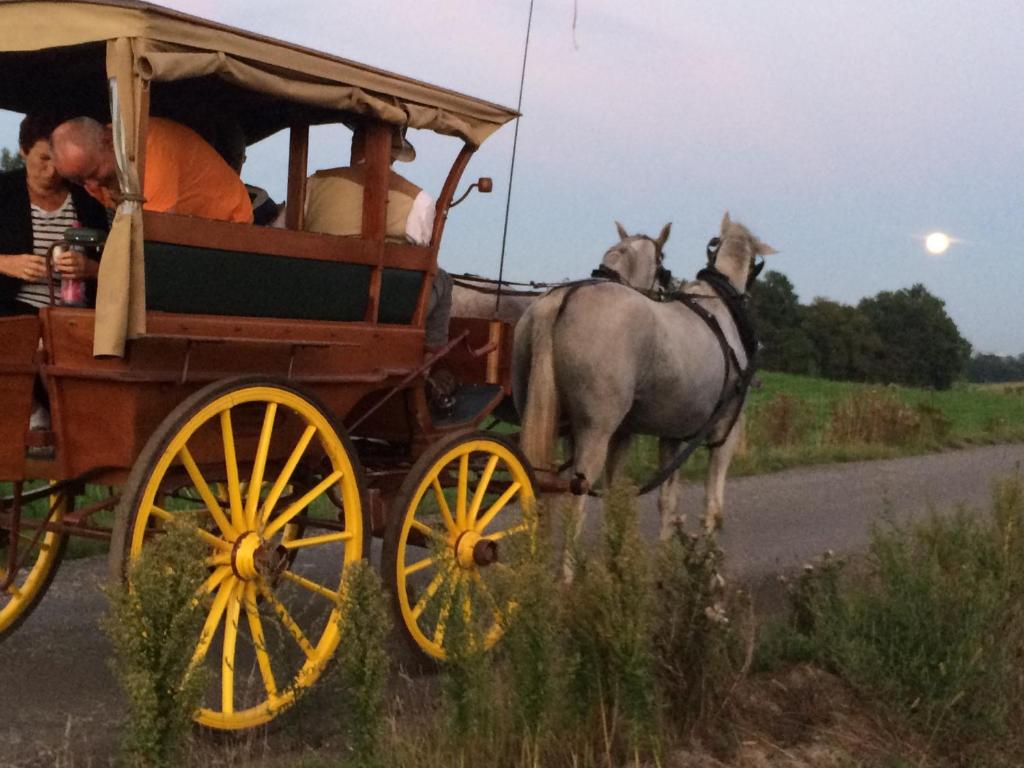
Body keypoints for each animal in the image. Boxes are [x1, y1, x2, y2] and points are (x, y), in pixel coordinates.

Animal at [512, 211, 774, 540]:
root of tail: (561, 299)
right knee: (576, 505)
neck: (719, 303)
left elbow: (664, 502)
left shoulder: (664, 436)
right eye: (662, 264)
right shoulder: (725, 432)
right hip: (595, 432)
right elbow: (712, 506)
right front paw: (708, 551)